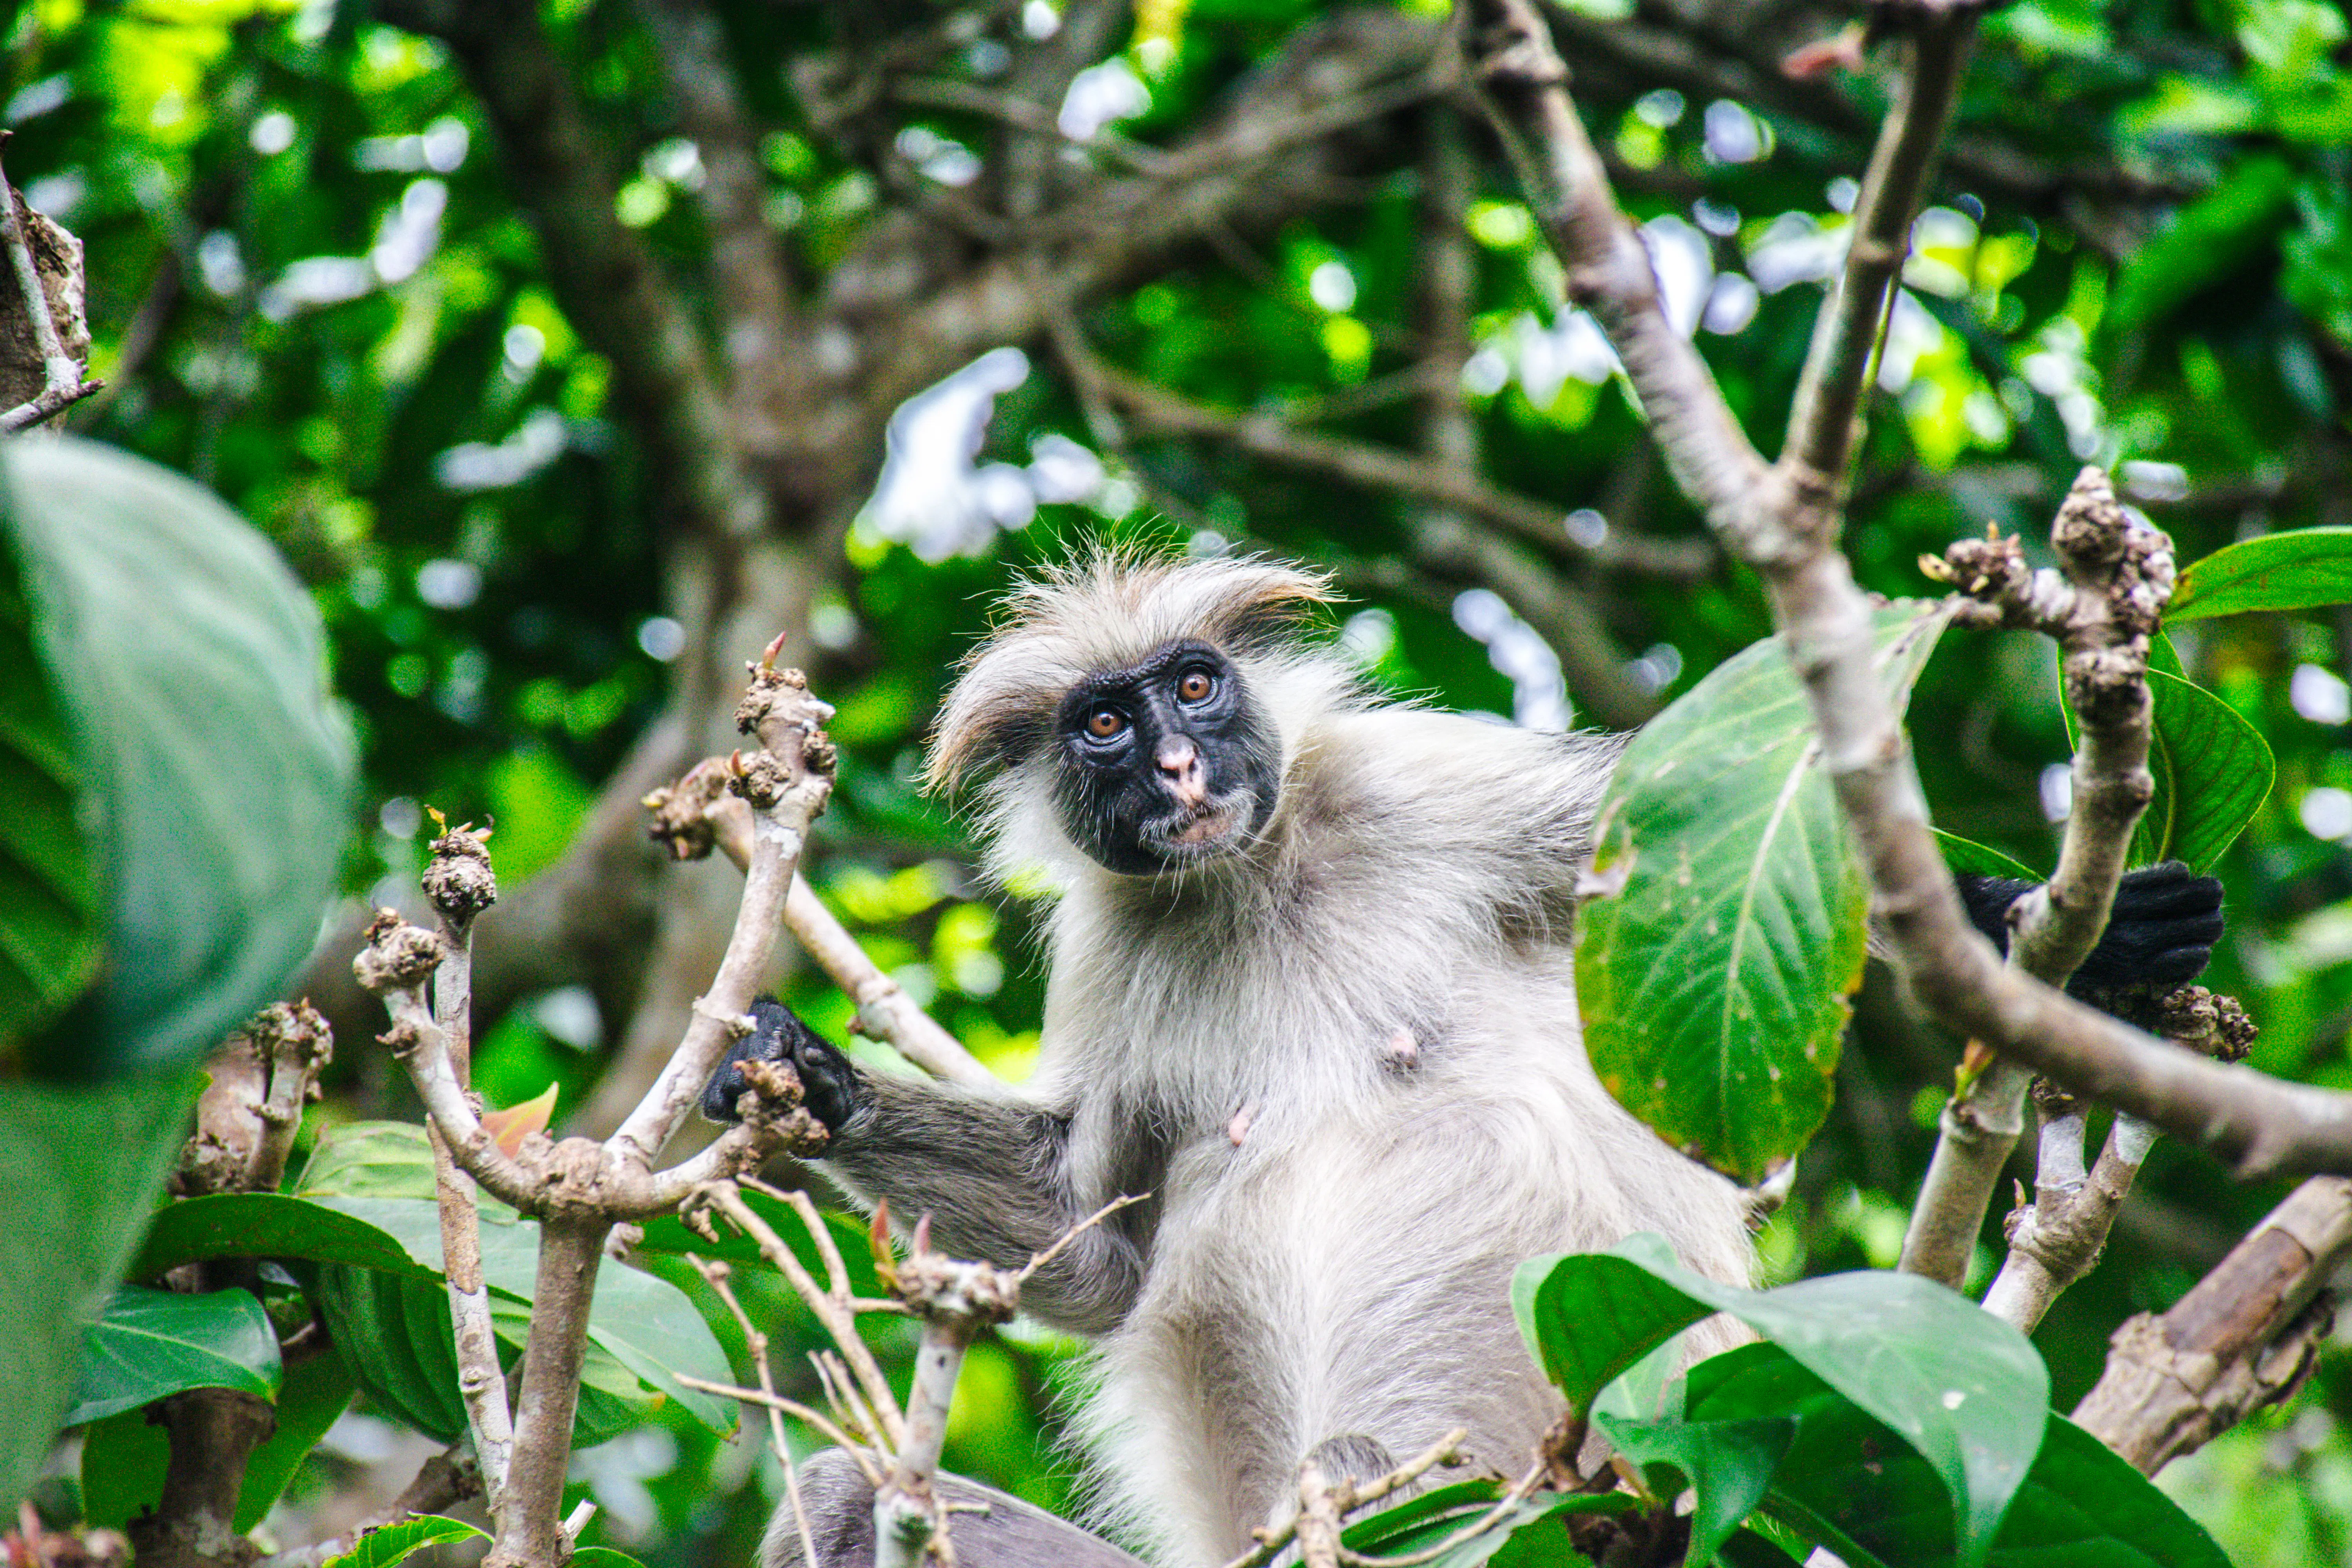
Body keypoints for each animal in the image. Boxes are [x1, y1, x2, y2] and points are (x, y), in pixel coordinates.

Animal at [704, 553, 2224, 1568]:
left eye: (1195, 687)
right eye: (1106, 725)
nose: (1181, 770)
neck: (1250, 884)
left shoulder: (1424, 785)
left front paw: (2064, 937)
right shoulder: (1113, 938)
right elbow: (1093, 1254)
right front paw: (804, 1077)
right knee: (845, 1494)